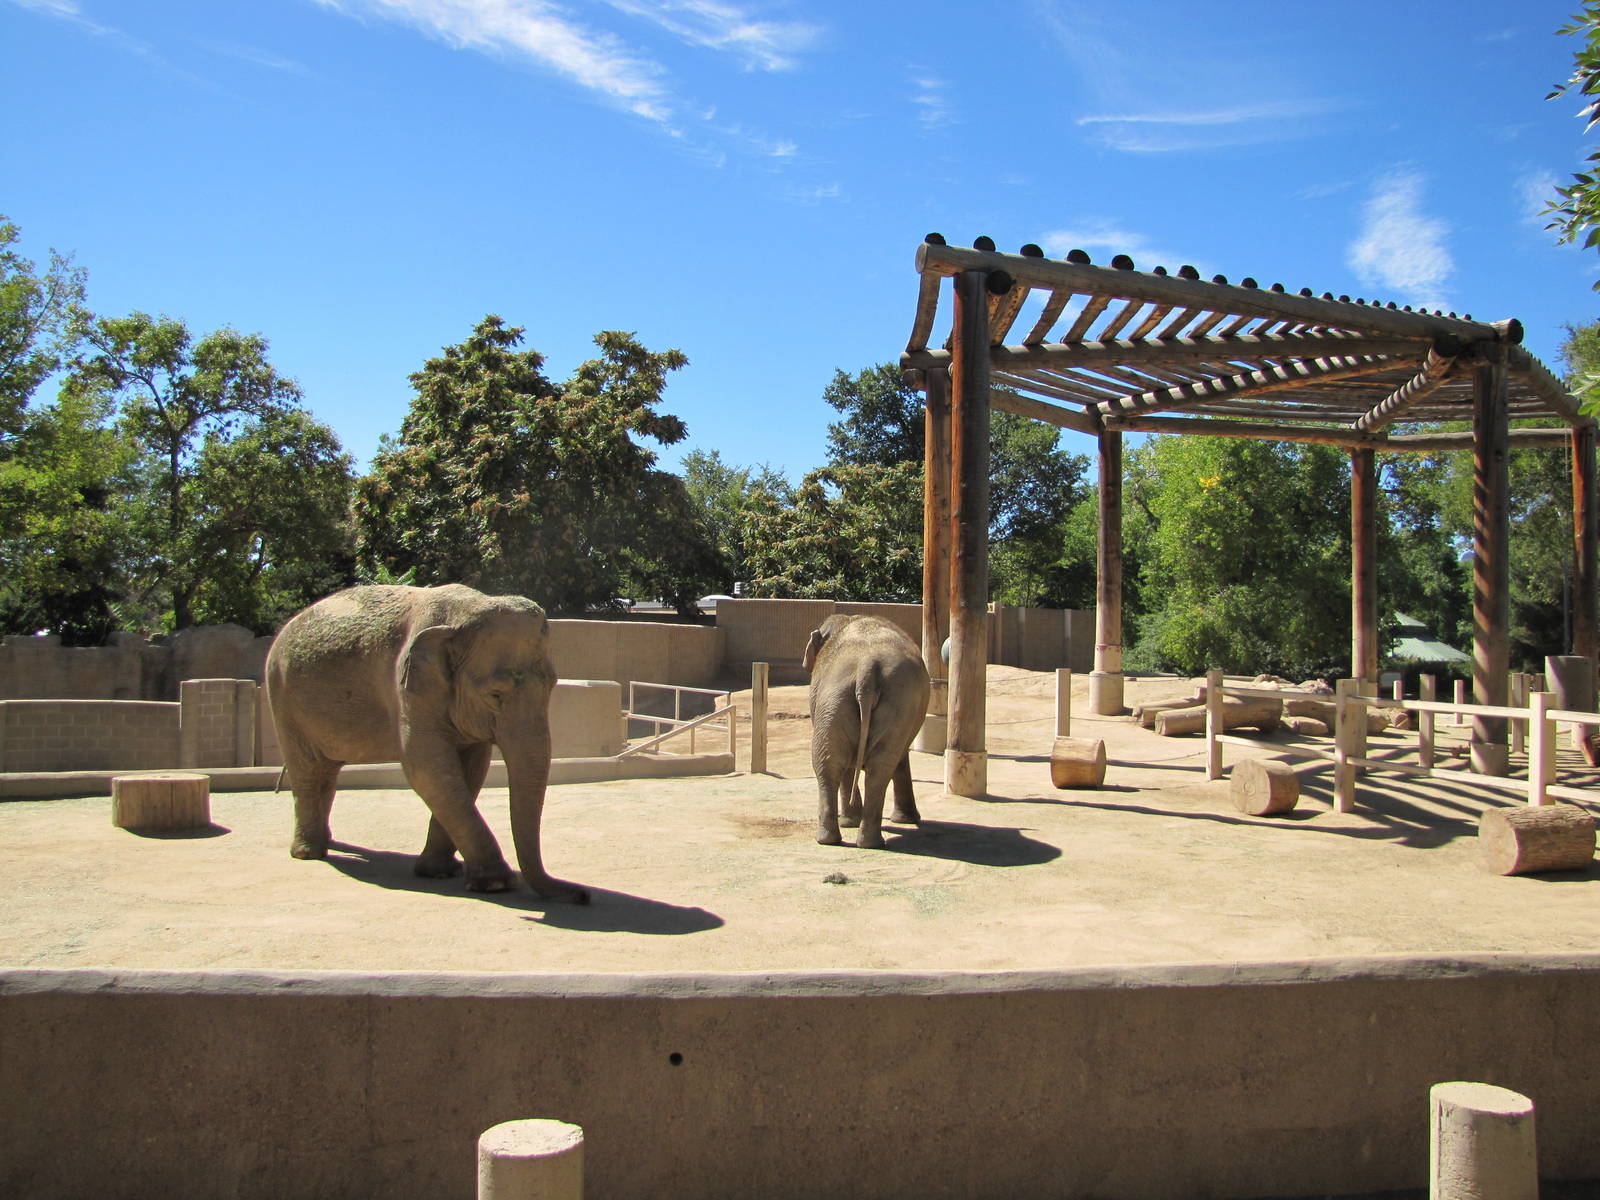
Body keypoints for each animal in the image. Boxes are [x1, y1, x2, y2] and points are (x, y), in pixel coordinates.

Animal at [264, 583, 587, 902]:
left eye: (551, 685)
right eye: (495, 694)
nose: (580, 894)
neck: (462, 611)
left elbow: (470, 769)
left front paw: (439, 872)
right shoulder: (409, 687)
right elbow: (428, 769)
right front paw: (495, 883)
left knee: (326, 773)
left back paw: (327, 841)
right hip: (282, 700)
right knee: (307, 771)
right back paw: (309, 853)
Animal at [803, 614, 931, 849]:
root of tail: (867, 669)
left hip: (840, 700)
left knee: (838, 764)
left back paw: (849, 839)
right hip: (857, 701)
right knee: (869, 767)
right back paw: (853, 840)